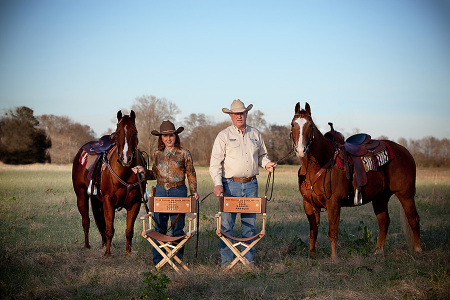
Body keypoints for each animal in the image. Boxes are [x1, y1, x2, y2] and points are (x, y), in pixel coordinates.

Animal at [72, 111, 145, 256]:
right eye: (117, 132)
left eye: (135, 132)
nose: (125, 158)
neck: (125, 173)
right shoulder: (108, 201)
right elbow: (110, 229)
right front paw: (107, 254)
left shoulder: (135, 203)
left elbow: (129, 231)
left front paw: (128, 253)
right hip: (81, 196)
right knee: (86, 221)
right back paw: (87, 245)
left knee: (100, 222)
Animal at [292, 102, 422, 258]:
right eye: (293, 124)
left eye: (310, 125)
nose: (301, 149)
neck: (319, 164)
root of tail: (405, 151)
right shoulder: (308, 204)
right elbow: (313, 232)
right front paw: (312, 257)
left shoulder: (333, 203)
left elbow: (332, 232)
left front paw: (334, 258)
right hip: (380, 198)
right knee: (384, 221)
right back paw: (378, 251)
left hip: (406, 195)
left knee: (413, 219)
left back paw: (418, 249)